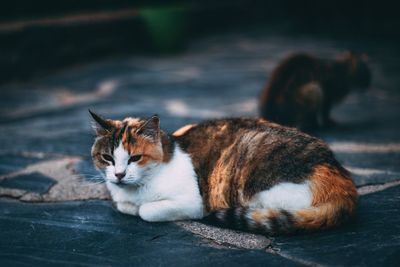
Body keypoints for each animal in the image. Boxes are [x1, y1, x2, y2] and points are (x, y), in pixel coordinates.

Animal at [90, 111, 356, 237]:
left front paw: (139, 208)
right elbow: (123, 206)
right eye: (107, 158)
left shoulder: (194, 203)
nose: (119, 175)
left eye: (135, 158)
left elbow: (145, 211)